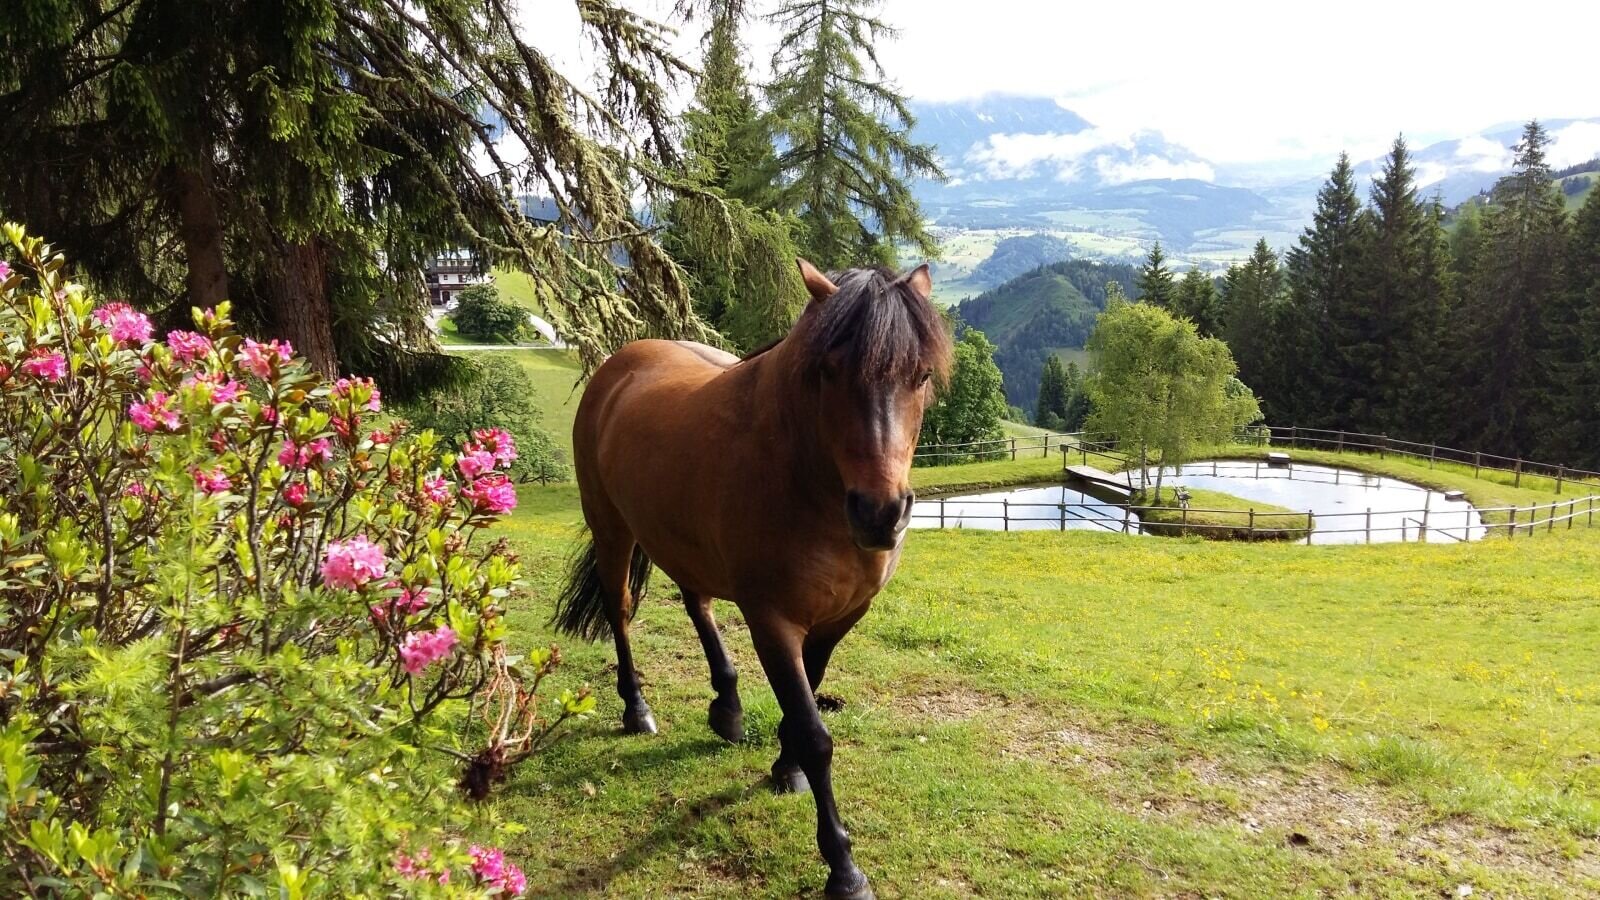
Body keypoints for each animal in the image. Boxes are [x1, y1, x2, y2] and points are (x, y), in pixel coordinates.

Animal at [552, 259, 951, 899]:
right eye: (829, 370)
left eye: (920, 375)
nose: (880, 514)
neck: (804, 477)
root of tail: (621, 363)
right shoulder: (773, 621)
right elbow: (814, 733)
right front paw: (843, 867)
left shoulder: (839, 618)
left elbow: (807, 698)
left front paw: (784, 769)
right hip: (612, 531)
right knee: (620, 612)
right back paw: (637, 709)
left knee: (697, 604)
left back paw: (728, 706)